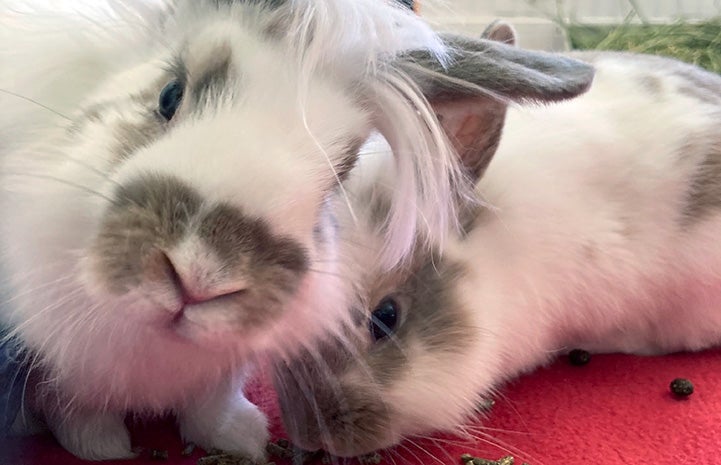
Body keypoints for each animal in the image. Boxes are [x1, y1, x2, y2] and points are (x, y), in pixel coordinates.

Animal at [0, 2, 594, 462]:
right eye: (169, 95)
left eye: (340, 172)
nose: (201, 272)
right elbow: (78, 403)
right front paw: (100, 446)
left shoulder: (223, 368)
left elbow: (209, 405)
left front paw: (241, 437)